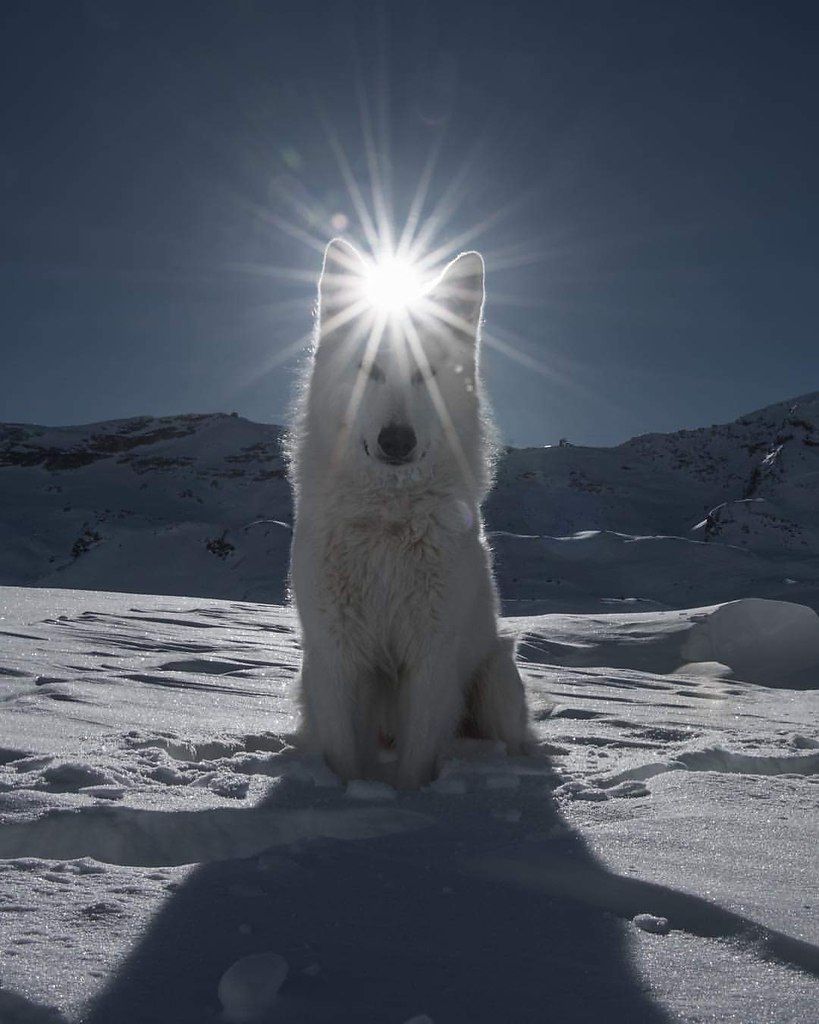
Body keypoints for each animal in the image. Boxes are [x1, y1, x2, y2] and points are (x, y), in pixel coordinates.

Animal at [288, 239, 532, 790]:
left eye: (425, 374)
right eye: (370, 369)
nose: (396, 440)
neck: (387, 521)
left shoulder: (430, 656)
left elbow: (417, 759)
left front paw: (408, 801)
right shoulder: (335, 656)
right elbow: (342, 754)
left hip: (495, 679)